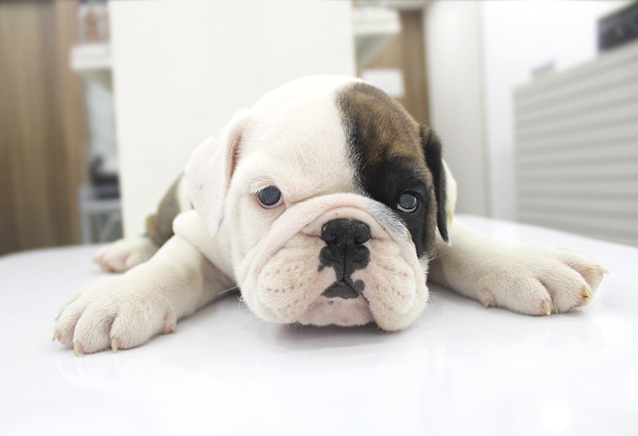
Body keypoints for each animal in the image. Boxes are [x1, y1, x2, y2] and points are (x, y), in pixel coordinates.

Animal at [53, 76, 607, 355]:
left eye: (409, 202)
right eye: (269, 196)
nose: (344, 233)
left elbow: (460, 243)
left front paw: (525, 263)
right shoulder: (195, 234)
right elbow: (173, 263)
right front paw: (122, 298)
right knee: (150, 233)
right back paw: (124, 255)